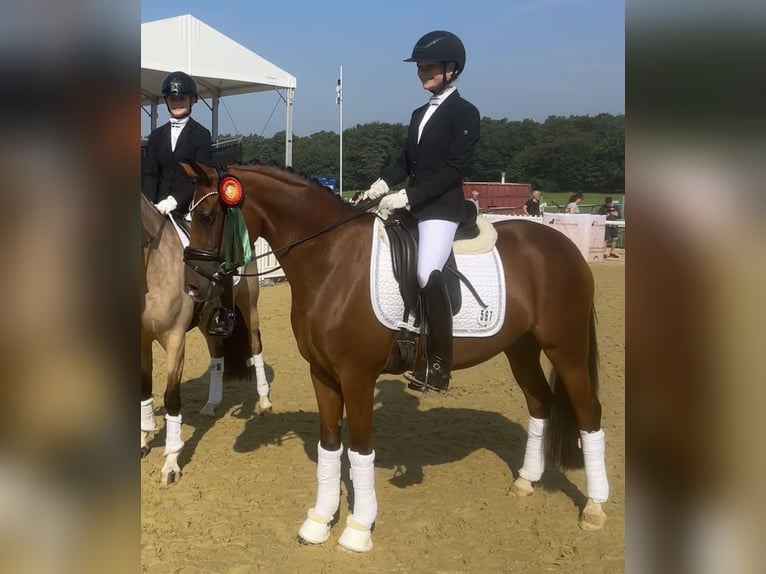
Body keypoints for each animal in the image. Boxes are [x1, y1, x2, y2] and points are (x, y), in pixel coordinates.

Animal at [142, 195, 272, 486]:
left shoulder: (175, 339)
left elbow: (171, 397)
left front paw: (171, 463)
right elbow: (144, 390)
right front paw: (143, 439)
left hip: (250, 306)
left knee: (256, 347)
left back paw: (264, 401)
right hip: (207, 320)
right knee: (217, 358)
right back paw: (211, 404)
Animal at [182, 163, 612, 552]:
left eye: (207, 216)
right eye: (188, 216)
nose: (193, 287)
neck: (331, 260)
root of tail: (563, 245)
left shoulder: (356, 376)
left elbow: (360, 451)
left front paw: (357, 529)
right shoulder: (322, 373)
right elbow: (329, 448)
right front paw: (318, 522)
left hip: (567, 350)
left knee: (588, 413)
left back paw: (594, 508)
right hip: (520, 347)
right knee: (540, 403)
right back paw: (526, 481)